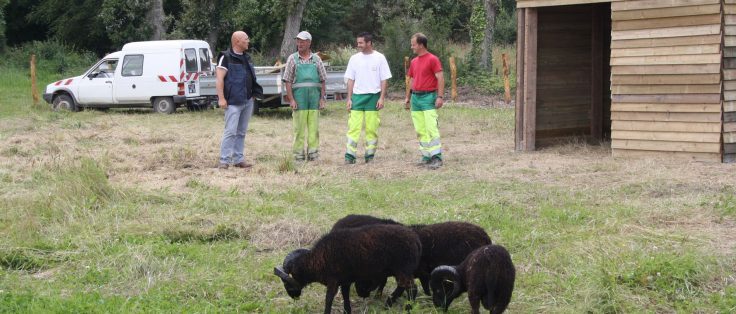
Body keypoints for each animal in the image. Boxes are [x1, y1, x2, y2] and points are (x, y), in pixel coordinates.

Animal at [272, 224, 420, 312]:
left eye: (287, 280)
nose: (293, 296)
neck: (318, 260)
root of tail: (416, 240)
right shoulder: (345, 280)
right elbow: (345, 295)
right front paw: (347, 310)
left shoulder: (333, 280)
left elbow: (328, 299)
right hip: (401, 270)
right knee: (403, 287)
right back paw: (388, 305)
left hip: (403, 268)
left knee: (412, 288)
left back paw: (408, 308)